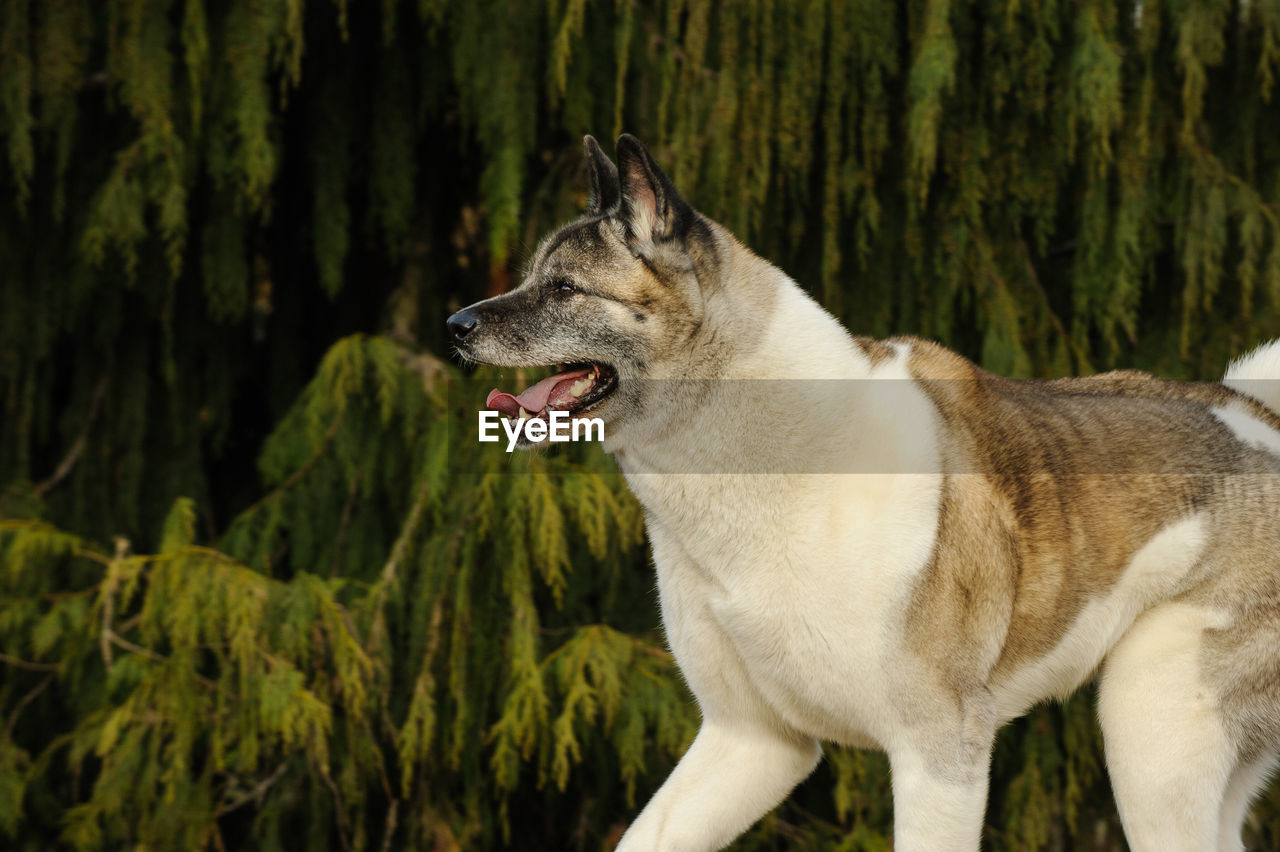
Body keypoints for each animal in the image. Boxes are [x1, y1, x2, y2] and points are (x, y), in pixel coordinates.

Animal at [448, 134, 1280, 849]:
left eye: (564, 288)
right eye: (531, 276)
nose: (454, 325)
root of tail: (1256, 412)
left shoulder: (940, 751)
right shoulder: (751, 743)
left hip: (1153, 729)